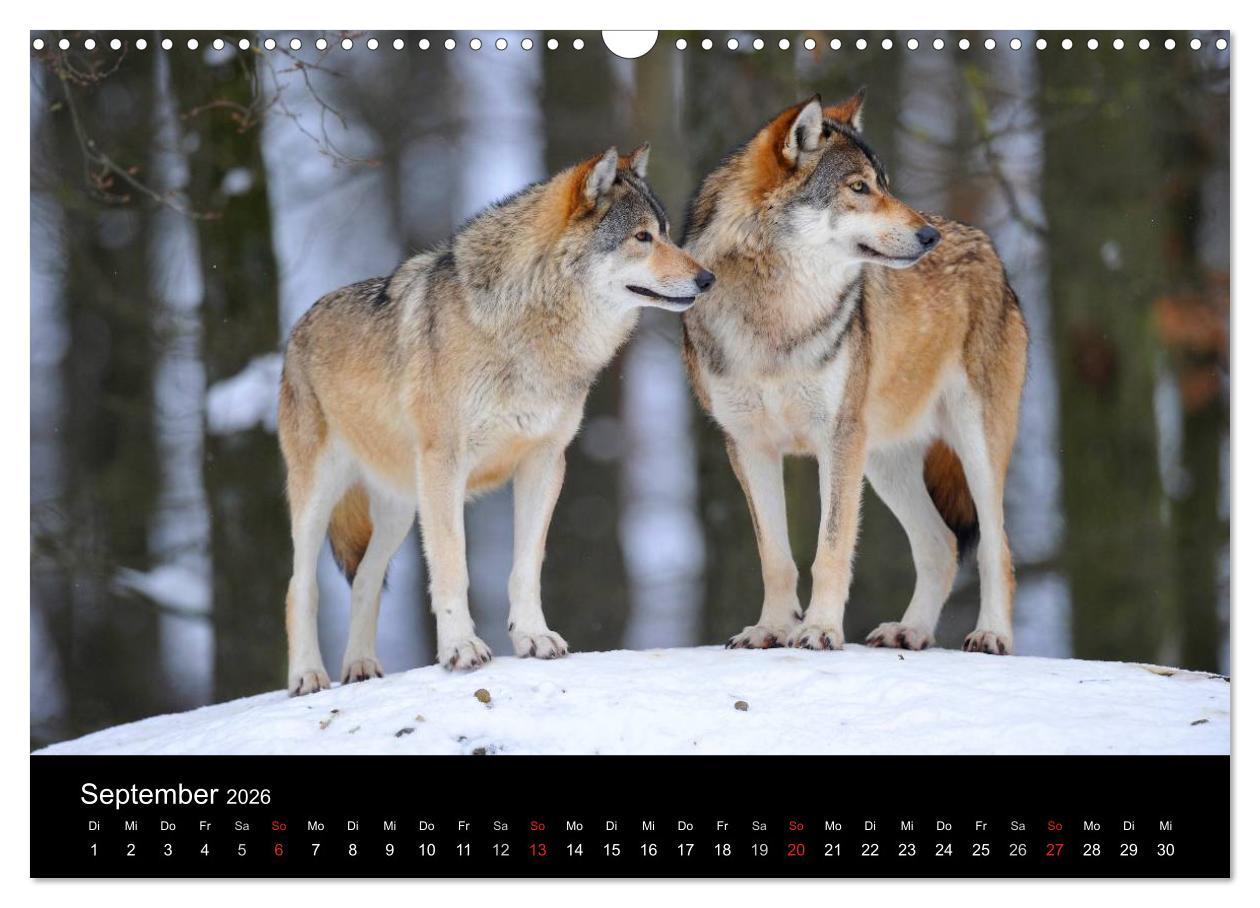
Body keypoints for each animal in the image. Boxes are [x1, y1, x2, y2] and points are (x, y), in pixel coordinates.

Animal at [280, 145, 715, 694]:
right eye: (642, 237)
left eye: (666, 232)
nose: (708, 279)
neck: (530, 332)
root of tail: (299, 324)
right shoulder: (445, 467)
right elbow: (451, 567)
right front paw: (461, 649)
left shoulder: (545, 463)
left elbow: (526, 566)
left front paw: (533, 637)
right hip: (321, 496)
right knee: (300, 587)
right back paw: (308, 676)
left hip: (400, 508)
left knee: (365, 581)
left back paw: (360, 669)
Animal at [682, 93, 1028, 655]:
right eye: (859, 187)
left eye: (883, 184)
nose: (928, 236)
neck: (777, 319)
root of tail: (988, 247)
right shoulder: (748, 445)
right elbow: (775, 557)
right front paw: (771, 629)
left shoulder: (838, 439)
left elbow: (830, 548)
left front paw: (820, 629)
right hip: (884, 460)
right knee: (942, 545)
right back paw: (910, 631)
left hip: (973, 445)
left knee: (995, 548)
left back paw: (991, 634)